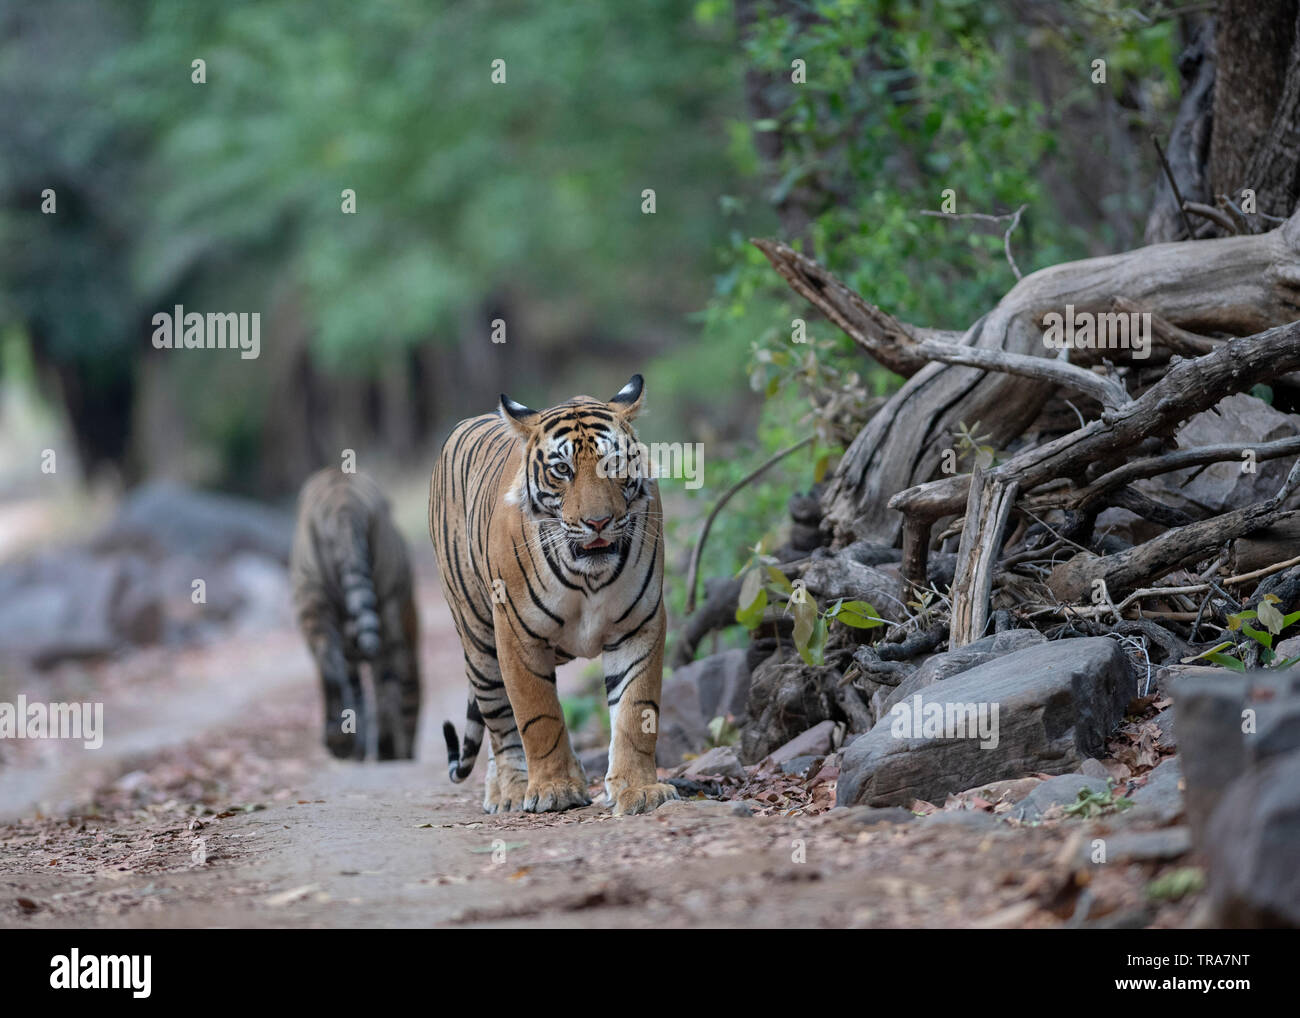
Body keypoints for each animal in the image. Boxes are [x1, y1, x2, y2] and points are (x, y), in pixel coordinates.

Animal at [289, 465, 421, 759]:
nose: (411, 754)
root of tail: (343, 504)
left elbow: (356, 690)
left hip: (312, 596)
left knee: (328, 660)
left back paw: (340, 740)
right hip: (385, 608)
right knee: (385, 681)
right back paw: (384, 750)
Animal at [434, 377, 681, 816]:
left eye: (613, 464)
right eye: (562, 470)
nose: (598, 522)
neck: (588, 577)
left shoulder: (641, 625)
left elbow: (636, 713)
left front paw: (640, 790)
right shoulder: (516, 634)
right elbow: (538, 715)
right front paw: (555, 788)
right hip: (480, 643)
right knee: (499, 723)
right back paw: (511, 792)